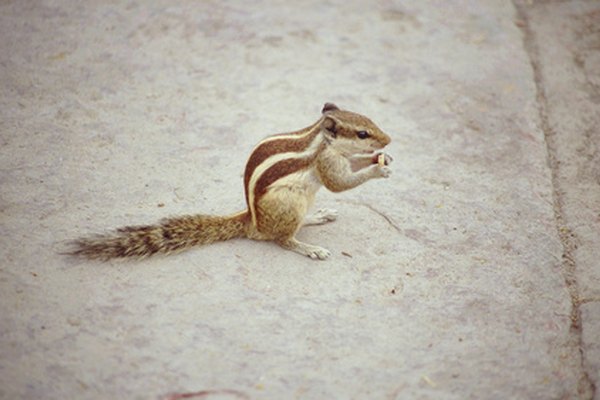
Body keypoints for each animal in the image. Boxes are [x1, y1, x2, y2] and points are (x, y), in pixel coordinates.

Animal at [68, 101, 392, 260]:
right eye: (362, 133)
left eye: (370, 121)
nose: (388, 140)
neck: (320, 139)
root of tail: (252, 222)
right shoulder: (326, 162)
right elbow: (339, 184)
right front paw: (378, 170)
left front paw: (382, 159)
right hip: (290, 202)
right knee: (281, 239)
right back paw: (308, 248)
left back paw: (318, 216)